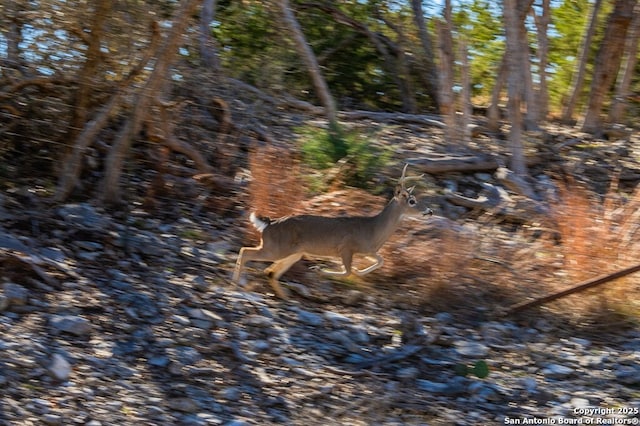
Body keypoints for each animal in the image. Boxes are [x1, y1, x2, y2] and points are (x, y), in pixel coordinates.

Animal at [232, 164, 432, 300]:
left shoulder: (366, 251)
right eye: (412, 201)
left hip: (293, 253)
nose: (429, 211)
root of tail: (269, 224)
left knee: (270, 271)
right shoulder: (346, 248)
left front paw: (356, 271)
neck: (373, 230)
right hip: (276, 249)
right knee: (246, 252)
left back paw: (284, 296)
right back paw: (236, 283)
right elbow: (347, 272)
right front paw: (320, 269)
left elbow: (379, 261)